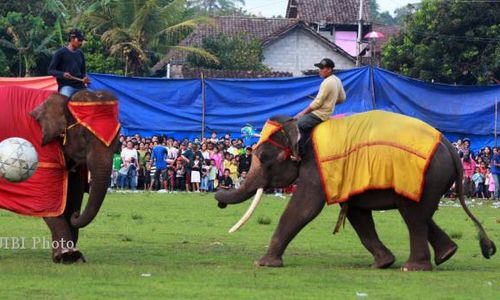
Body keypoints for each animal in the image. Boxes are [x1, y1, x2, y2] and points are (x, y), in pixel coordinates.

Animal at [0, 86, 119, 262]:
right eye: (84, 135)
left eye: (118, 137)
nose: (77, 214)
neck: (66, 102)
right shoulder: (42, 153)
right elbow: (47, 200)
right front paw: (68, 255)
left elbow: (74, 194)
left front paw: (74, 255)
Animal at [216, 111, 496, 270]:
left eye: (263, 157)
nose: (219, 200)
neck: (301, 130)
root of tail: (449, 146)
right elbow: (357, 213)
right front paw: (383, 263)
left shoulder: (315, 169)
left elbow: (305, 208)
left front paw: (263, 264)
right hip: (430, 180)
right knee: (422, 215)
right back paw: (447, 254)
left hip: (425, 176)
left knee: (413, 216)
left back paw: (413, 268)